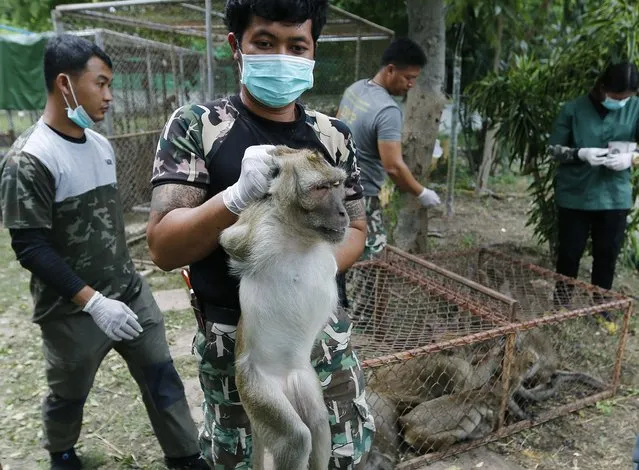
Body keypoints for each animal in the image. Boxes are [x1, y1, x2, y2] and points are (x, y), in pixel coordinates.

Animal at [220, 147, 350, 470]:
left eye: (336, 185)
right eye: (320, 189)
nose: (343, 211)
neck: (299, 234)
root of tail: (283, 380)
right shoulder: (256, 230)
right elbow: (228, 241)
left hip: (301, 379)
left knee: (319, 425)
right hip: (255, 388)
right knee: (295, 438)